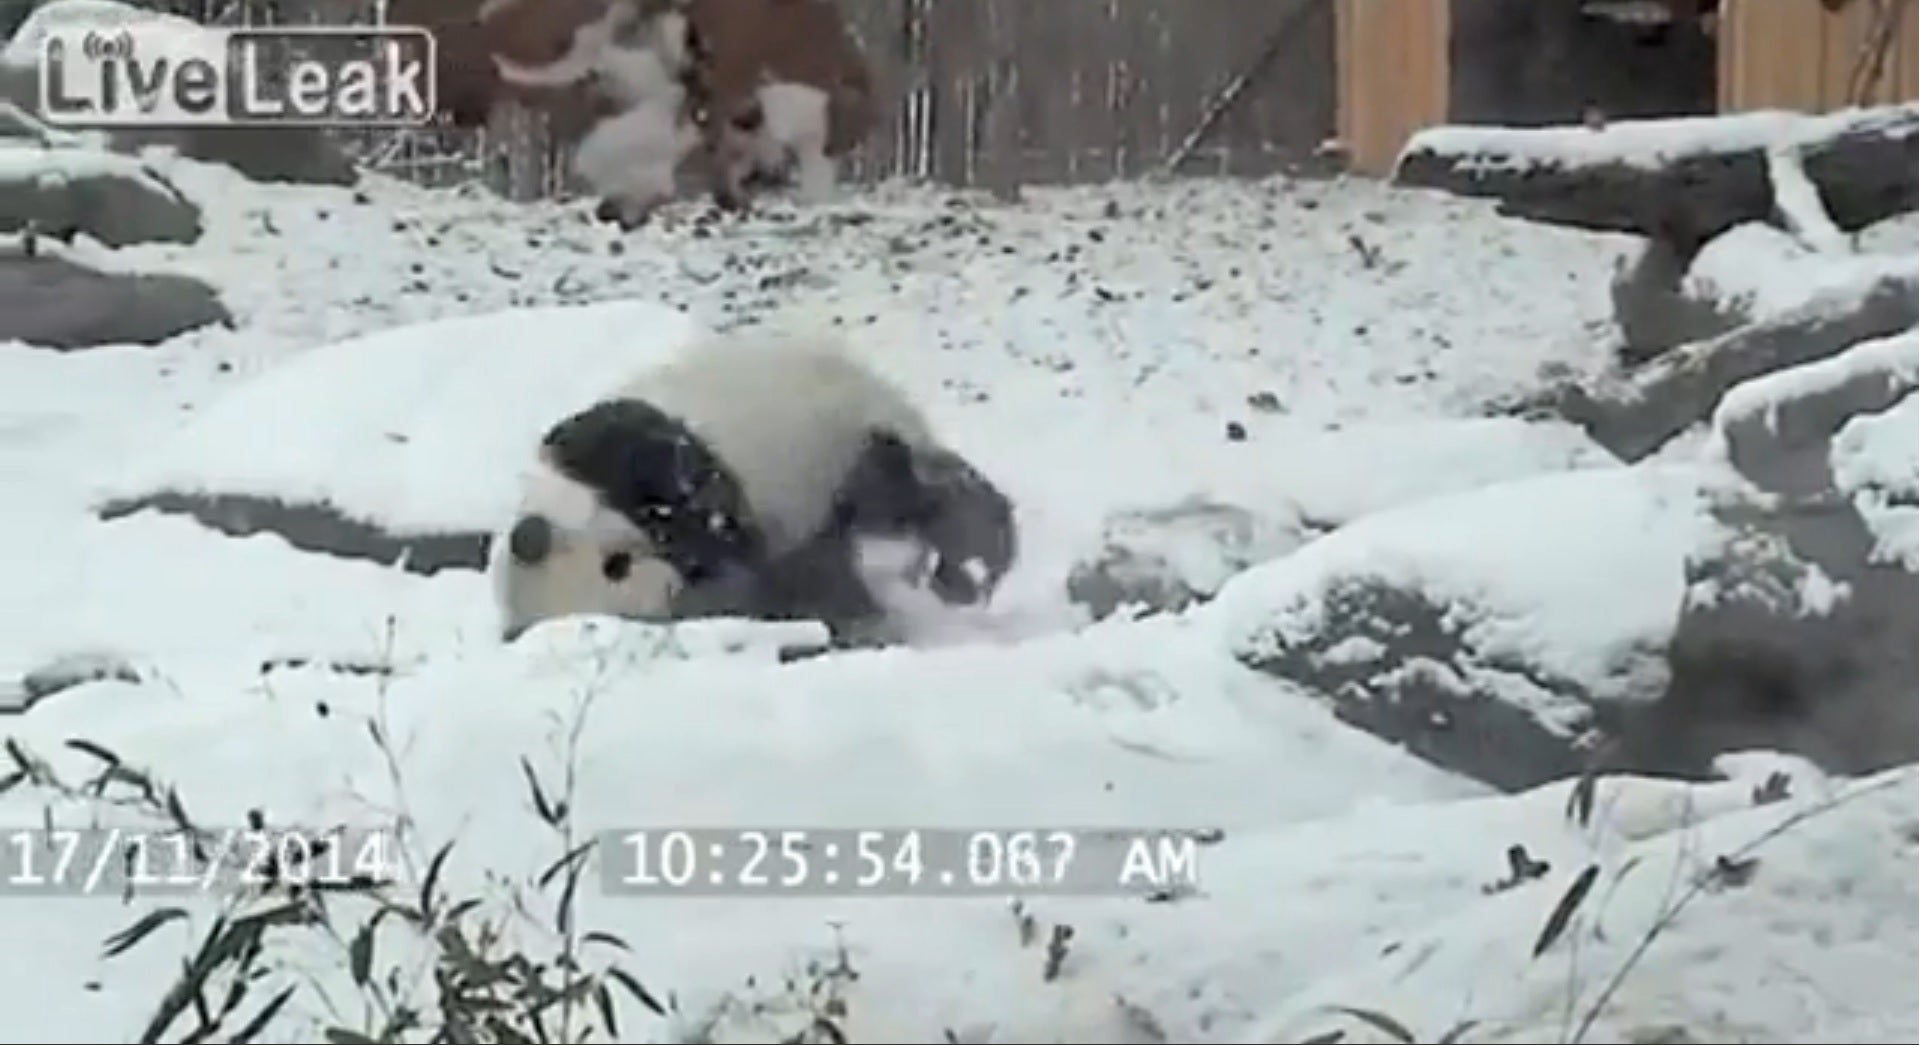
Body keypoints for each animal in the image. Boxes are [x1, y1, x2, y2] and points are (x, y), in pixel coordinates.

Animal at [491, 330, 1021, 649]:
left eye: (615, 567)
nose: (670, 586)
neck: (568, 496)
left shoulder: (626, 455)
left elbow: (702, 508)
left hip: (842, 435)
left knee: (914, 495)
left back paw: (973, 556)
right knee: (829, 556)